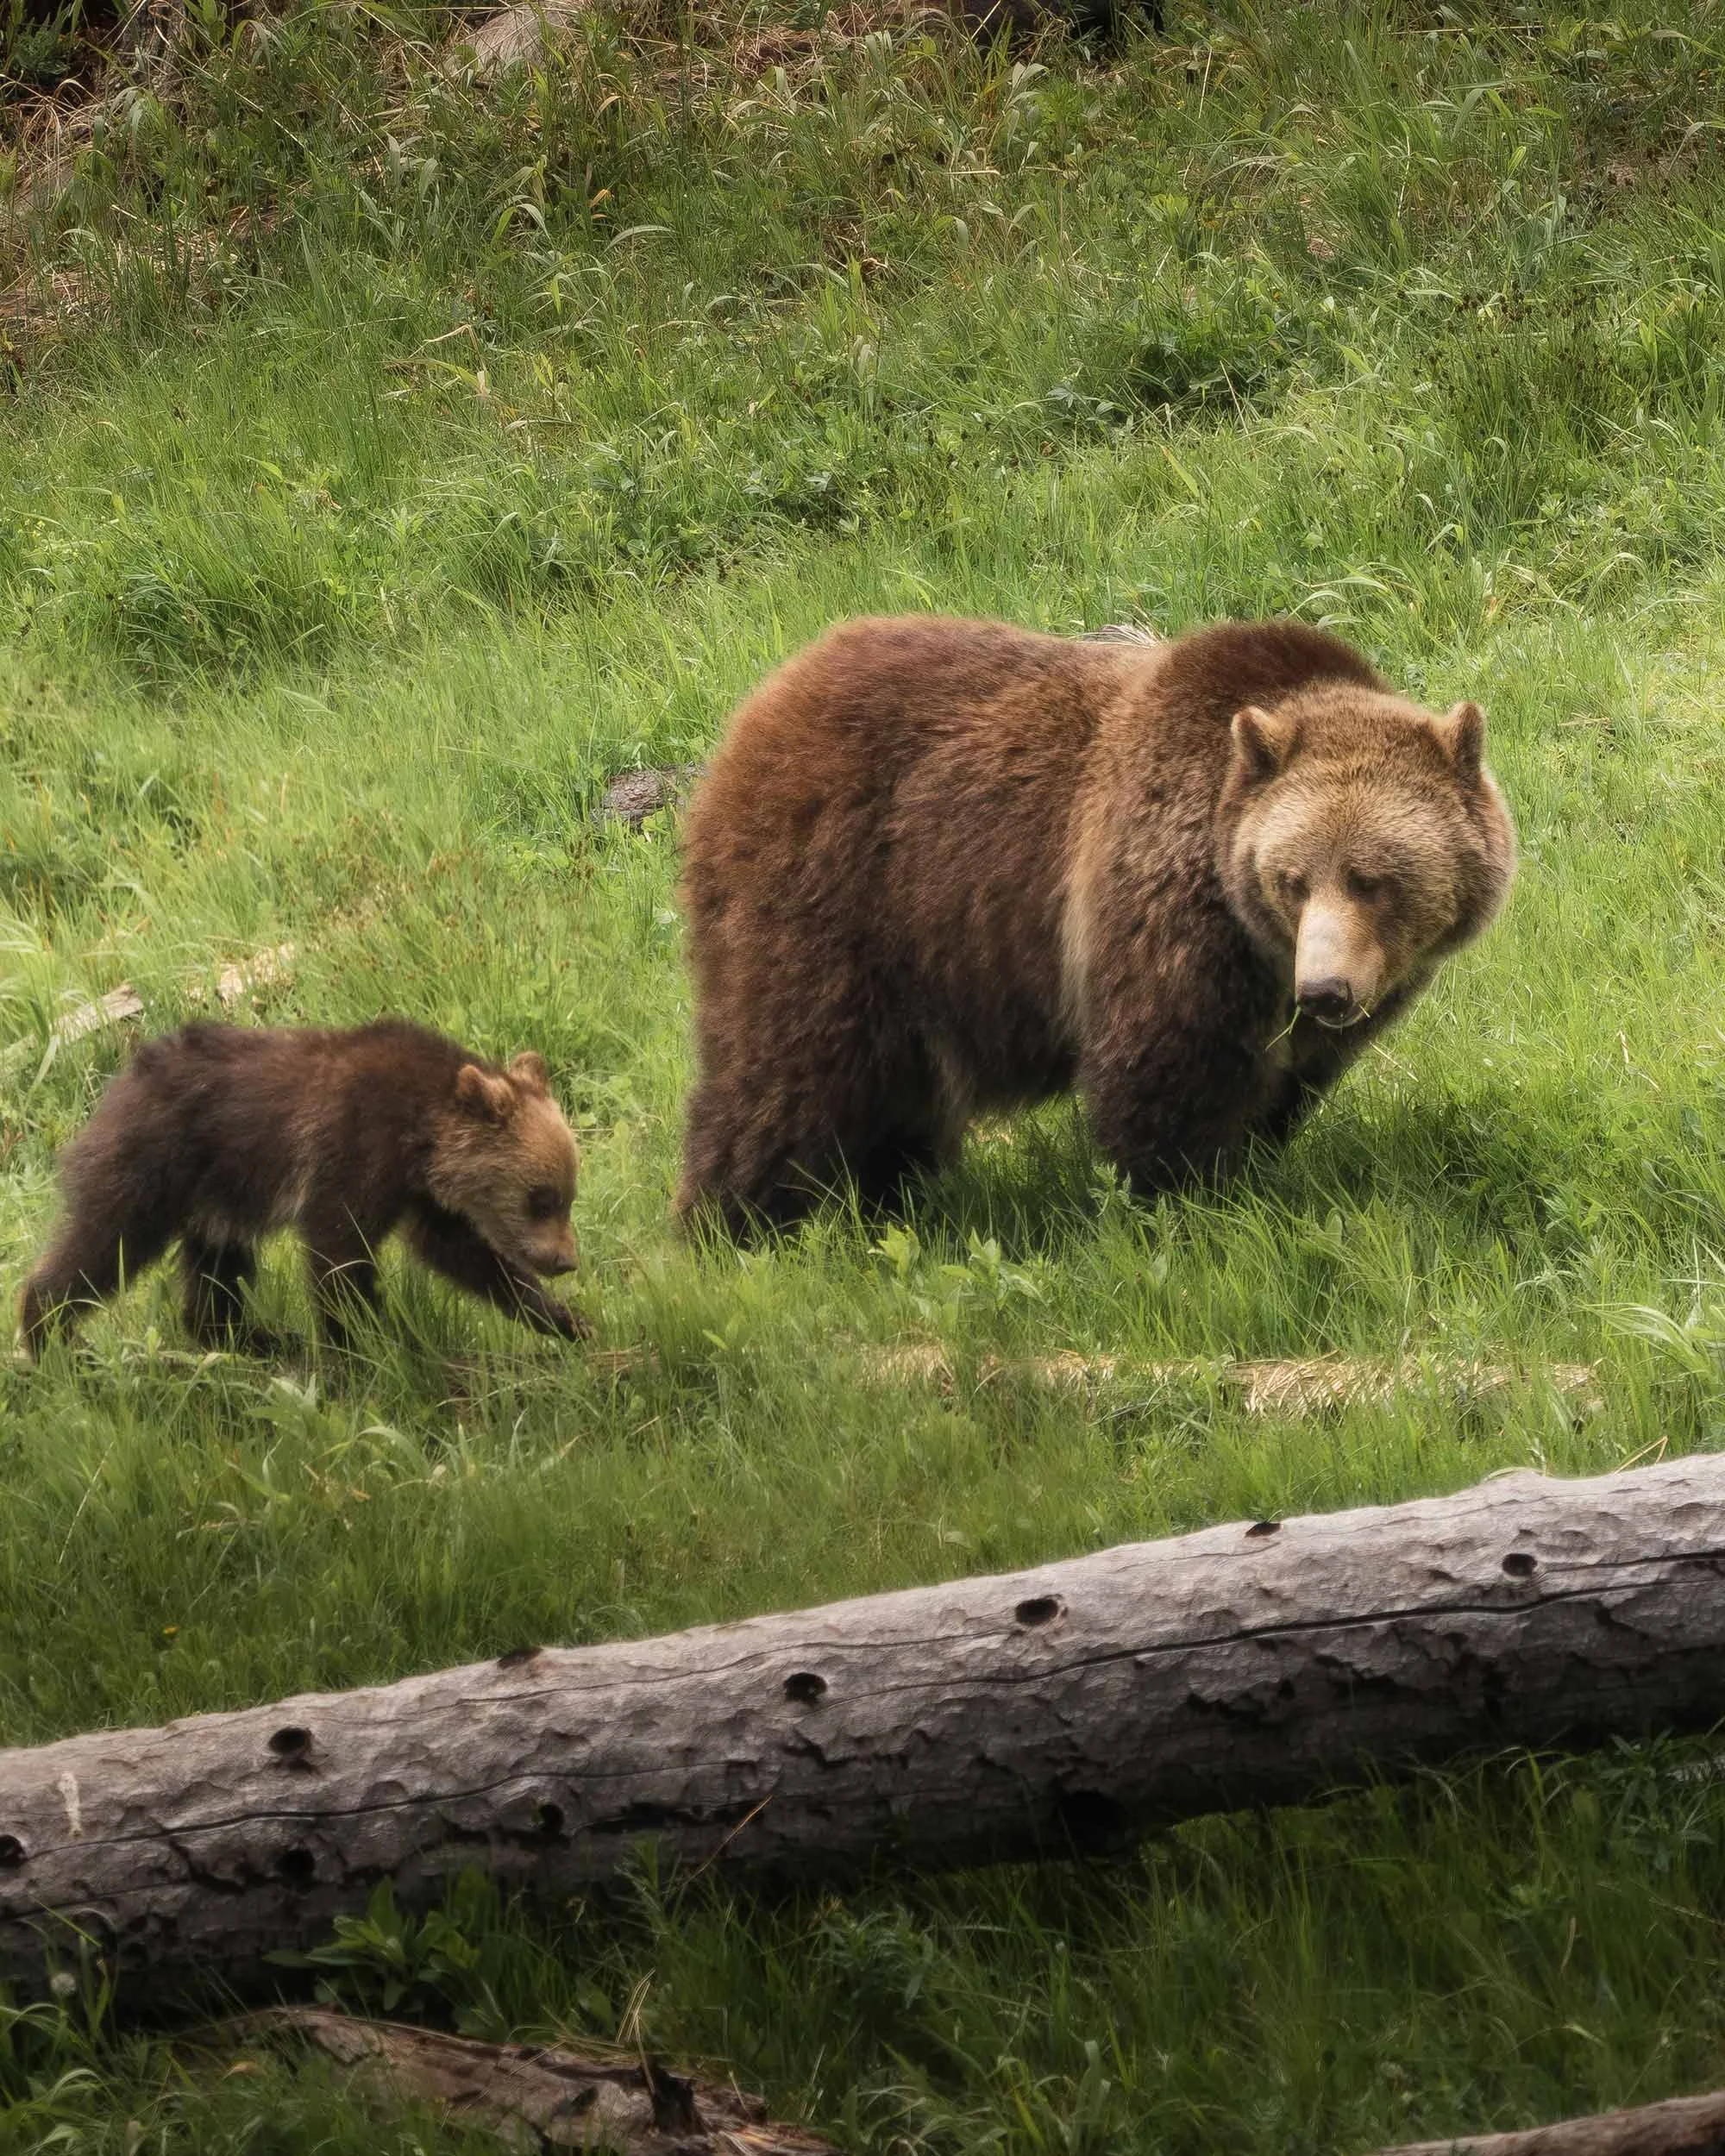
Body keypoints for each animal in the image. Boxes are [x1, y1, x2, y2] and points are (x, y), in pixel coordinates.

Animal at [19, 1020, 590, 1357]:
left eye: (568, 1194)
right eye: (541, 1197)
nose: (565, 1260)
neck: (420, 1133)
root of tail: (119, 1083)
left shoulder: (421, 1194)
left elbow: (463, 1254)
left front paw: (566, 1320)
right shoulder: (351, 1149)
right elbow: (339, 1254)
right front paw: (366, 1344)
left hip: (220, 1197)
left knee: (217, 1268)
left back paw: (254, 1338)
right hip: (153, 1167)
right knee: (103, 1246)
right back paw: (50, 1334)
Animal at [676, 615, 1516, 1237]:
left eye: (1372, 879)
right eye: (1292, 878)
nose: (1327, 990)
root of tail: (761, 705)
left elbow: (1286, 1083)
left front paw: (1253, 1161)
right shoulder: (1167, 908)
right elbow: (1167, 1073)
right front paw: (1187, 1202)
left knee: (892, 1093)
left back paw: (894, 1200)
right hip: (838, 893)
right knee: (789, 1067)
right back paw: (736, 1224)